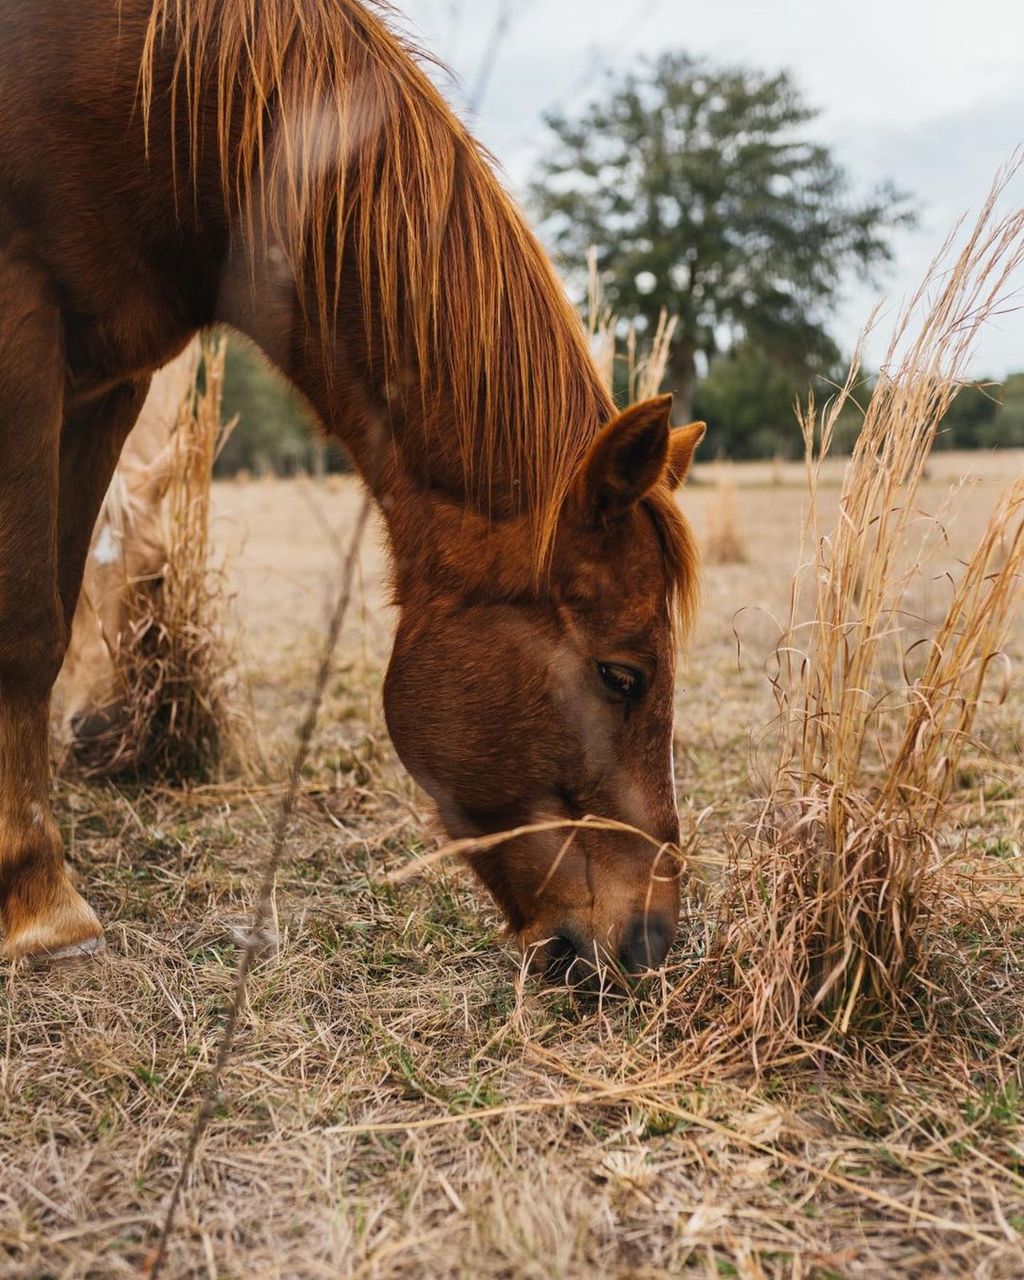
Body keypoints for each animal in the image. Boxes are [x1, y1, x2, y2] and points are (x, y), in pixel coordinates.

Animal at [0, 2, 706, 977]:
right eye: (622, 675)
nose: (651, 940)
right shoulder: (23, 318)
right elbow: (26, 627)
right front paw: (40, 903)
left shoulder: (109, 377)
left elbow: (63, 601)